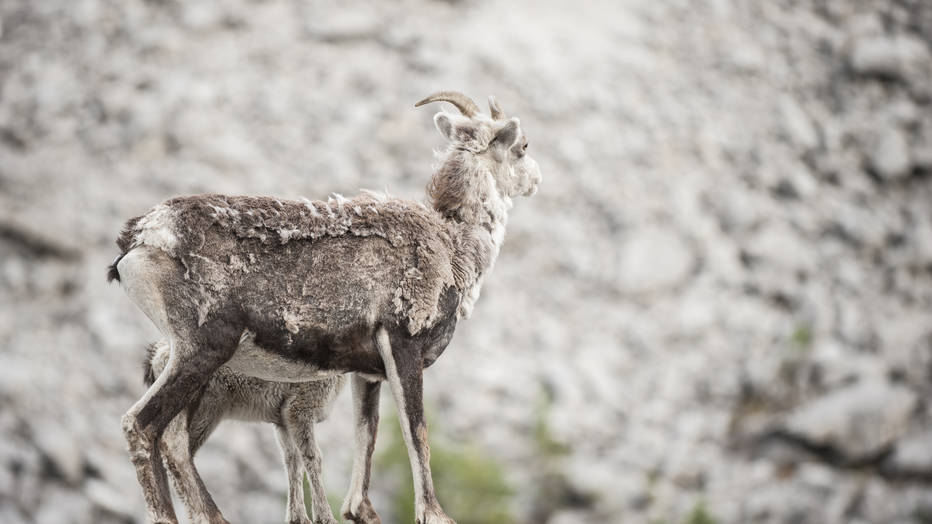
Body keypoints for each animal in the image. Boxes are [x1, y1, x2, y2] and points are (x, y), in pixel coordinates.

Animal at [144, 340, 348, 524]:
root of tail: (157, 356)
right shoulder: (299, 409)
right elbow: (313, 459)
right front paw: (325, 517)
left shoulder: (282, 421)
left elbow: (292, 462)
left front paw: (298, 518)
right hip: (199, 410)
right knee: (176, 449)